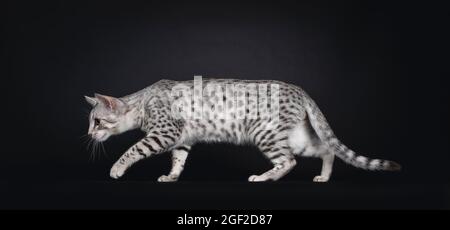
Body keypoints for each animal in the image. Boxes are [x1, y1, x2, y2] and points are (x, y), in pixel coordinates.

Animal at [85, 77, 400, 181]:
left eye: (97, 121)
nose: (89, 134)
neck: (142, 102)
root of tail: (301, 91)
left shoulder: (164, 133)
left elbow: (133, 149)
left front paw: (116, 169)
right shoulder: (182, 139)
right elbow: (178, 160)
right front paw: (172, 177)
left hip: (266, 134)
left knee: (288, 161)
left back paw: (263, 178)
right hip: (298, 136)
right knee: (326, 150)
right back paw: (323, 177)